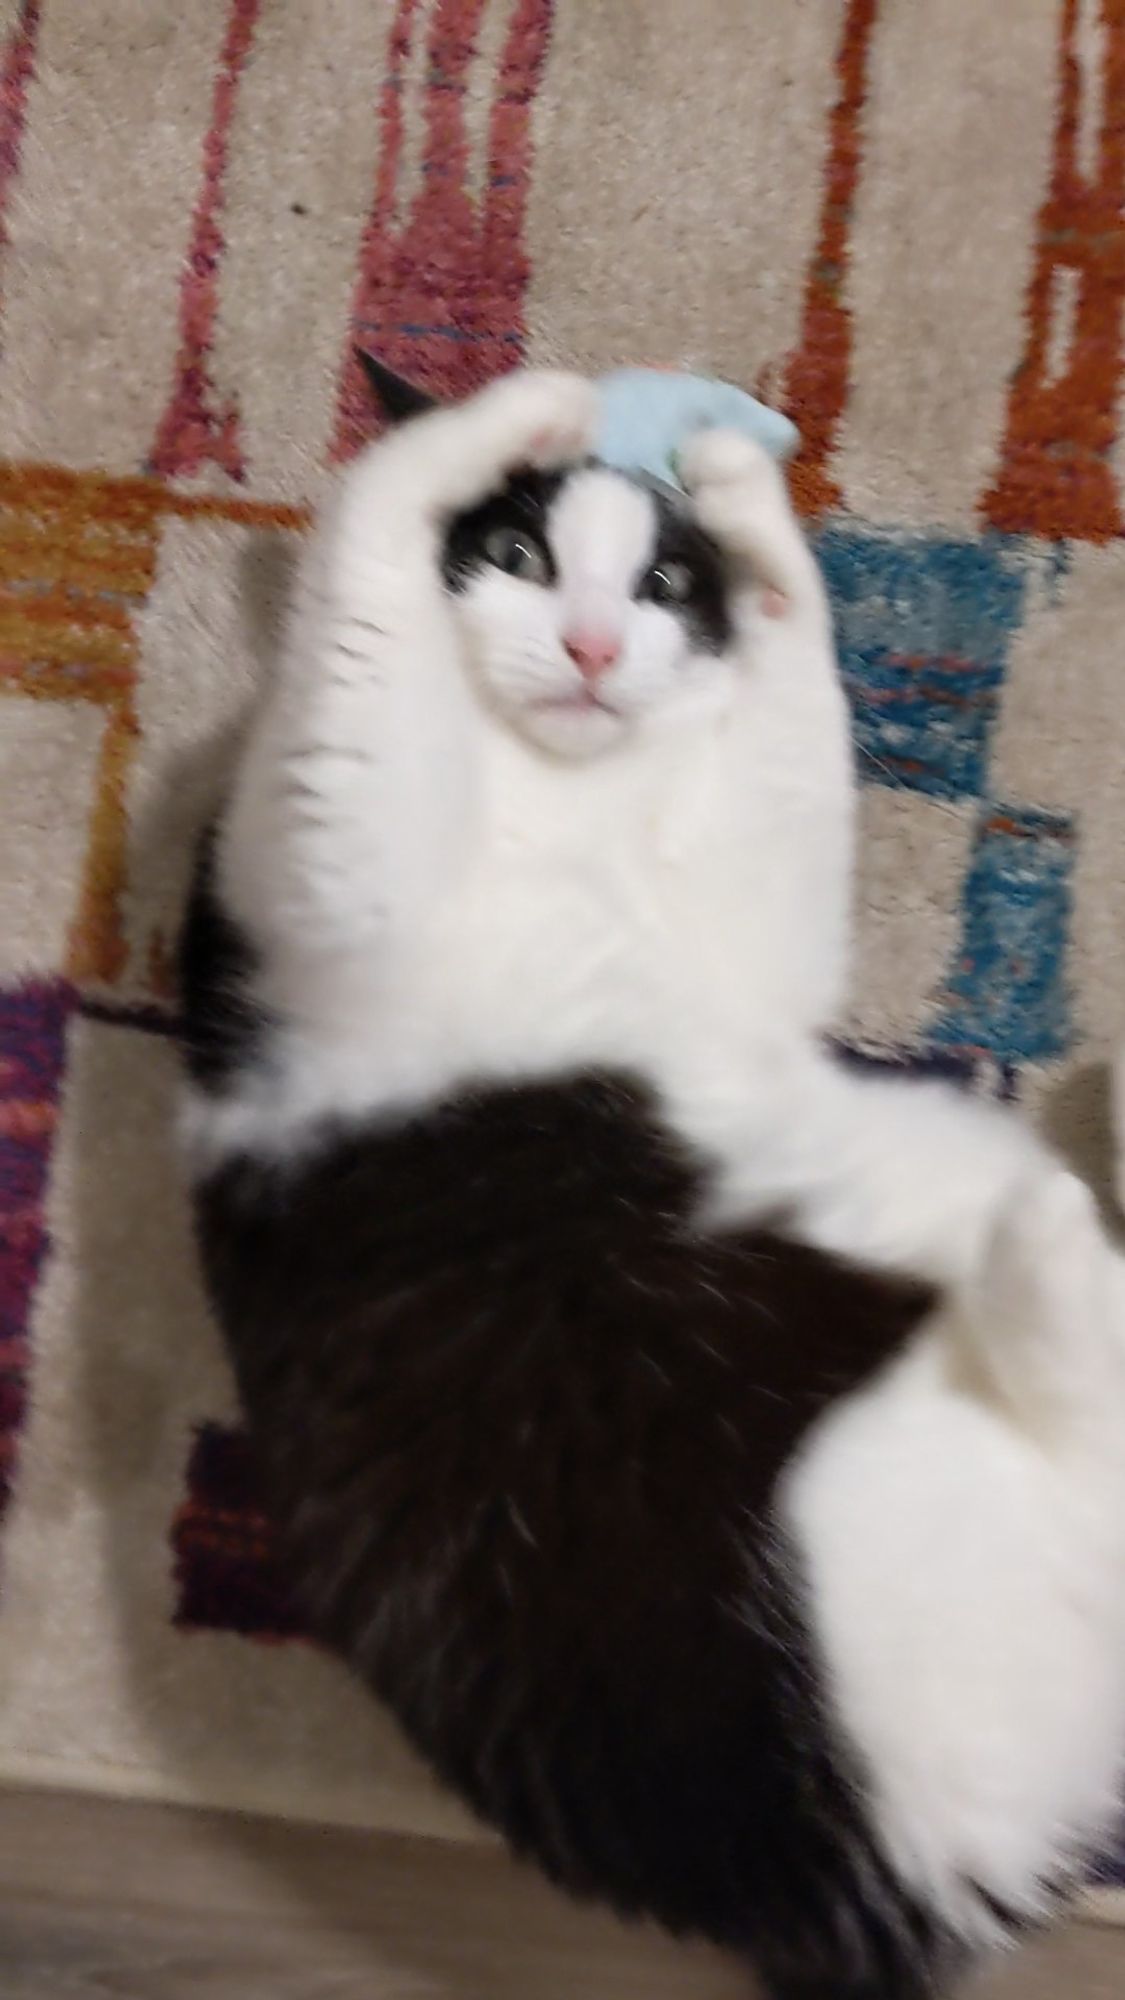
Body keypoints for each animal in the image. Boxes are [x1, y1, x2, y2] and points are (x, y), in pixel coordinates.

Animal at [177, 364, 1125, 2000]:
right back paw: (1041, 1231)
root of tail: (942, 1896)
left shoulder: (753, 909)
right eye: (515, 557)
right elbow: (367, 583)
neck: (577, 807)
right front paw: (518, 407)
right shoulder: (336, 845)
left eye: (664, 588)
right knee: (1089, 1426)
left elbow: (797, 716)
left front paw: (748, 502)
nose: (595, 646)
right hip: (891, 1515)